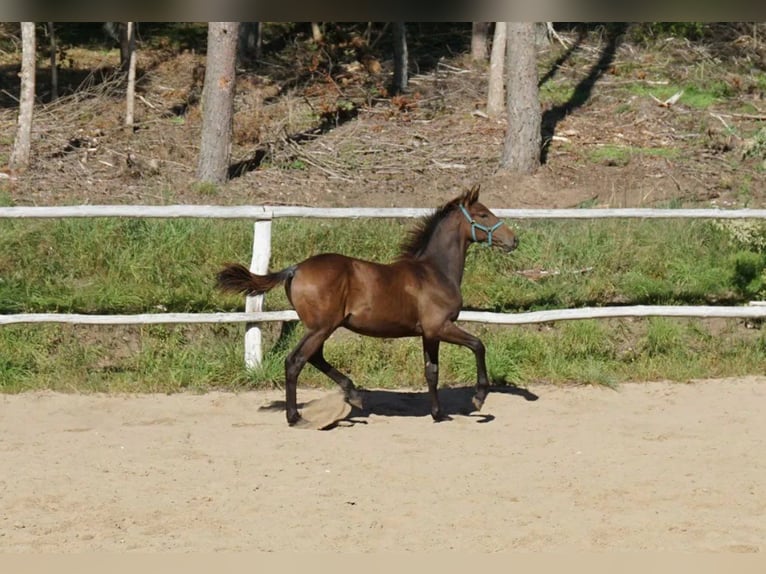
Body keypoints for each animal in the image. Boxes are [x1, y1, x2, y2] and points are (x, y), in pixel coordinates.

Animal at [218, 186, 520, 428]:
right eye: (483, 215)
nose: (514, 240)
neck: (434, 272)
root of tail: (295, 269)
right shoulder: (440, 327)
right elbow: (478, 345)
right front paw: (479, 399)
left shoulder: (429, 333)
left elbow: (431, 372)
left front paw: (438, 414)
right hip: (322, 327)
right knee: (295, 361)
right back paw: (296, 417)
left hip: (321, 327)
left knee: (314, 358)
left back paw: (353, 395)